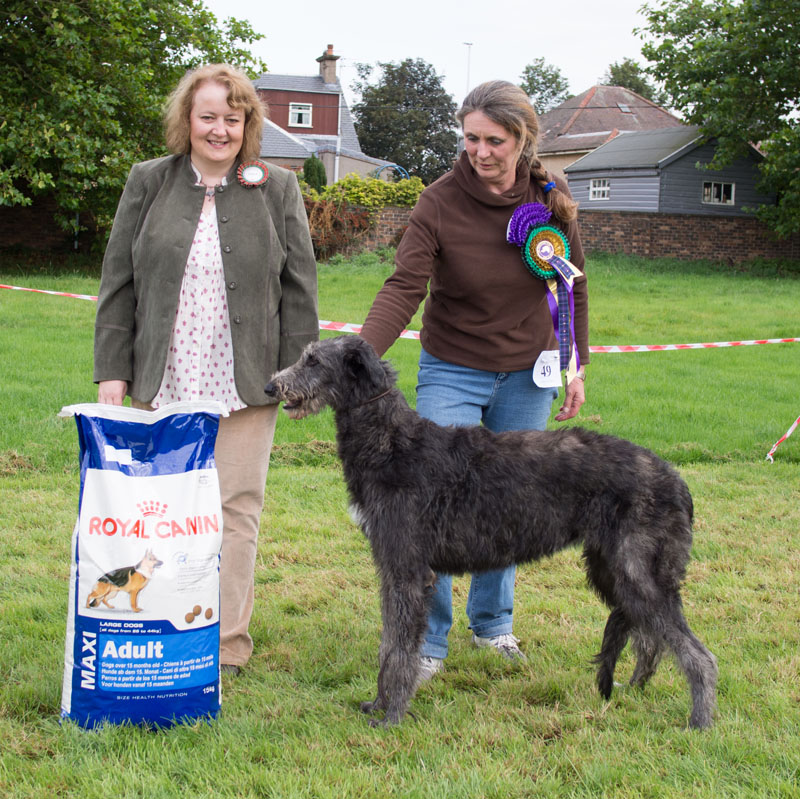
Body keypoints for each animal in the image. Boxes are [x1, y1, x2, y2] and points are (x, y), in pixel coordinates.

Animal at [264, 334, 720, 728]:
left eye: (313, 361)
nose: (271, 386)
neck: (392, 442)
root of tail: (675, 479)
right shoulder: (392, 568)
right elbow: (389, 644)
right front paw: (378, 703)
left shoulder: (407, 569)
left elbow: (398, 649)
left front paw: (391, 716)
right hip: (611, 569)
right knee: (650, 638)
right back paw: (635, 688)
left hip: (636, 569)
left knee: (696, 653)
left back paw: (699, 720)